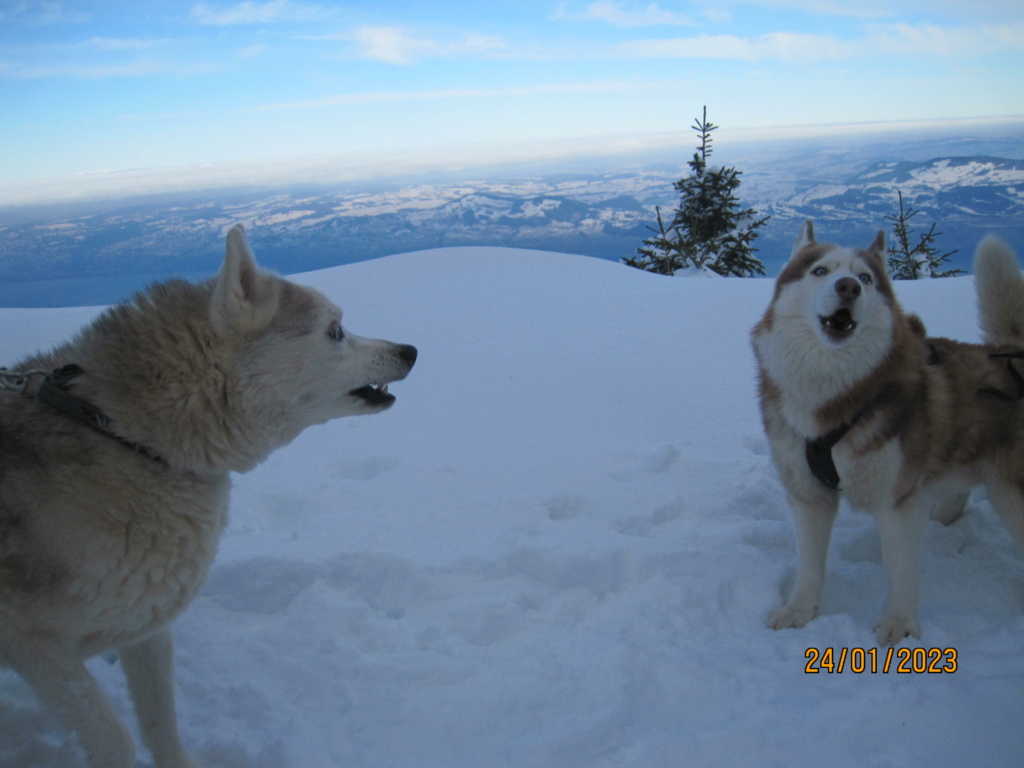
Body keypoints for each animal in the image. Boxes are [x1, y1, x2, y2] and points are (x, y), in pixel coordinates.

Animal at [1, 225, 415, 765]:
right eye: (336, 330)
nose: (410, 350)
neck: (128, 439)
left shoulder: (147, 628)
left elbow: (161, 724)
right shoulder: (33, 646)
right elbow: (116, 739)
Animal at [753, 221, 1024, 643]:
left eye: (865, 278)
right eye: (820, 271)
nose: (849, 287)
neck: (833, 397)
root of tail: (1011, 354)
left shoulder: (897, 501)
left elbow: (900, 569)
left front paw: (899, 624)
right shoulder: (808, 494)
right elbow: (810, 565)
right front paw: (798, 610)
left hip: (1011, 495)